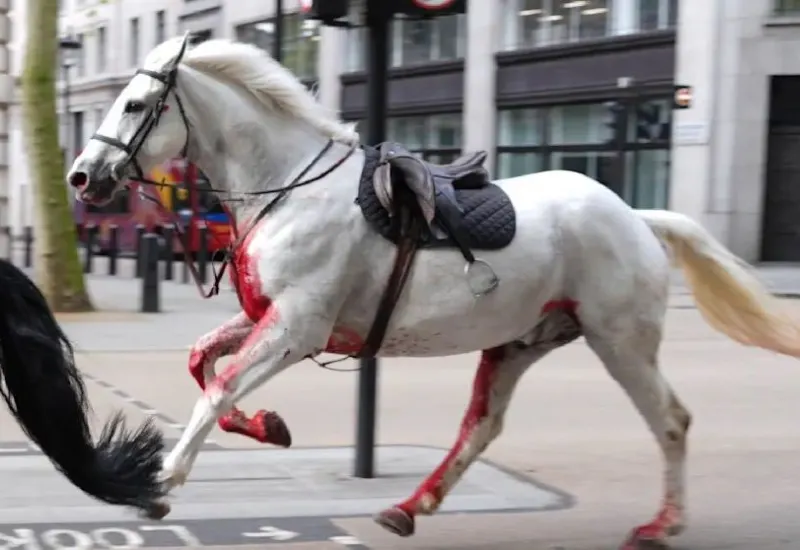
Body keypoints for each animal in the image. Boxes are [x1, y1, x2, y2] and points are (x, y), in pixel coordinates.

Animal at [66, 33, 800, 549]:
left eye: (136, 104)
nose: (80, 176)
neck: (289, 188)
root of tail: (636, 217)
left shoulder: (297, 327)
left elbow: (217, 387)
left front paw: (161, 482)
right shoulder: (274, 320)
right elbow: (202, 362)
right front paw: (267, 427)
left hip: (619, 340)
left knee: (670, 421)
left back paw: (661, 525)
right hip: (520, 342)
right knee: (483, 426)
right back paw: (409, 507)